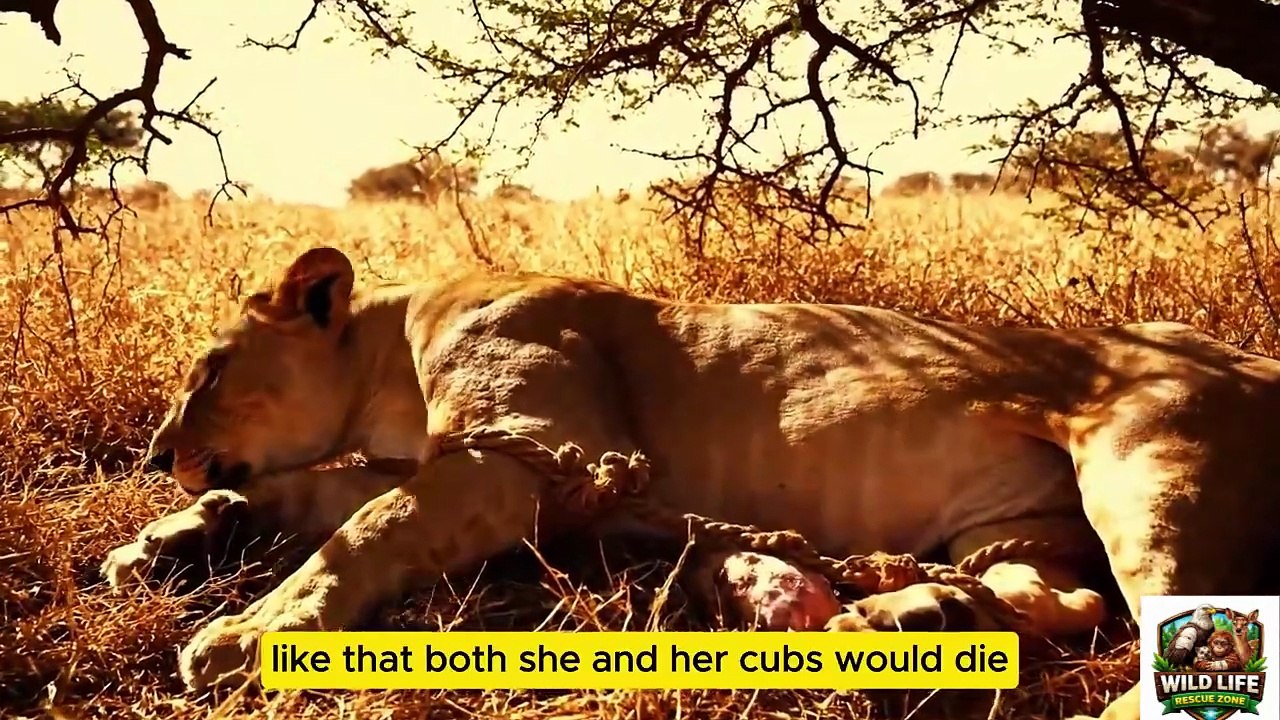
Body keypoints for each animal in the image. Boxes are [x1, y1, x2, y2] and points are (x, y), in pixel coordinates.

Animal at [105, 246, 1280, 720]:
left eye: (209, 370)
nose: (158, 453)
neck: (388, 350)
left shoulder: (526, 455)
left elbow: (356, 535)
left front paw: (239, 634)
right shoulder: (480, 469)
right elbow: (318, 503)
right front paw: (165, 541)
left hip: (1149, 464)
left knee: (1165, 632)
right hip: (1022, 525)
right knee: (1060, 599)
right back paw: (874, 618)